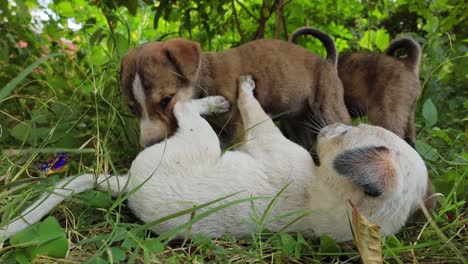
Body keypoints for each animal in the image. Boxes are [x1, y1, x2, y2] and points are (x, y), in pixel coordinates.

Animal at [0, 75, 428, 242]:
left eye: (346, 135)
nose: (329, 127)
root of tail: (125, 183)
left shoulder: (267, 141)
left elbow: (255, 112)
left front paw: (244, 88)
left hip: (200, 140)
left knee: (184, 108)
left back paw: (218, 100)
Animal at [120, 31, 352, 147]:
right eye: (132, 108)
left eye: (166, 100)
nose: (150, 144)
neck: (205, 78)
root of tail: (328, 61)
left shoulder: (237, 127)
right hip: (296, 122)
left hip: (329, 109)